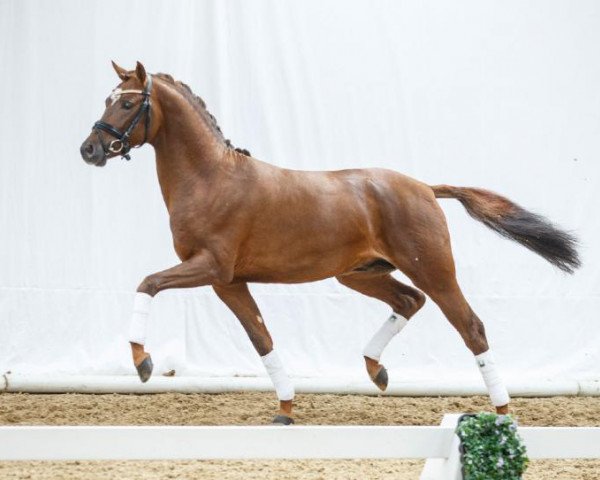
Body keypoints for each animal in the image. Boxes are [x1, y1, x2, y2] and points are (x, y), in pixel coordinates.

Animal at [81, 62, 580, 426]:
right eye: (107, 98)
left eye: (128, 102)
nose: (89, 150)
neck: (211, 179)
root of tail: (424, 187)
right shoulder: (229, 282)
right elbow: (261, 337)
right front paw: (285, 411)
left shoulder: (210, 267)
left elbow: (148, 283)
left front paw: (143, 363)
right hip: (359, 274)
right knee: (408, 300)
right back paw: (376, 370)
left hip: (433, 269)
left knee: (470, 326)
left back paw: (503, 414)